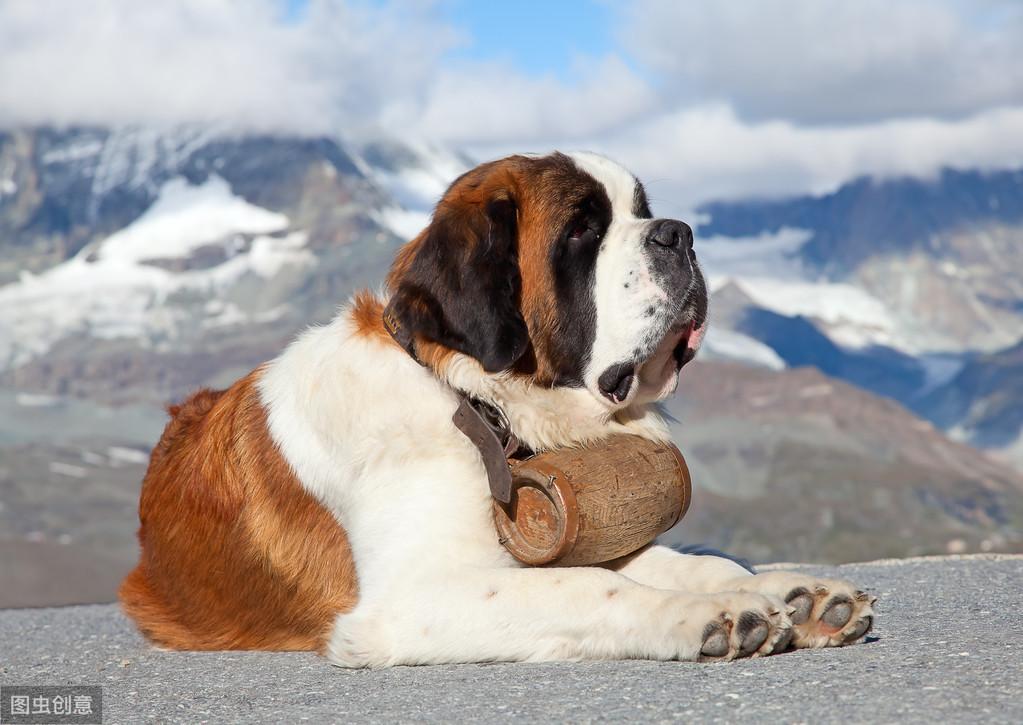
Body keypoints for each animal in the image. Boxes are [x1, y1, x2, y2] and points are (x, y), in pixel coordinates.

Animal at [117, 152, 871, 666]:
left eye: (640, 210)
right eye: (581, 232)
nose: (679, 233)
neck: (475, 402)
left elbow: (676, 558)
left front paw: (789, 594)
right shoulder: (412, 597)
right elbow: (585, 587)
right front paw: (712, 614)